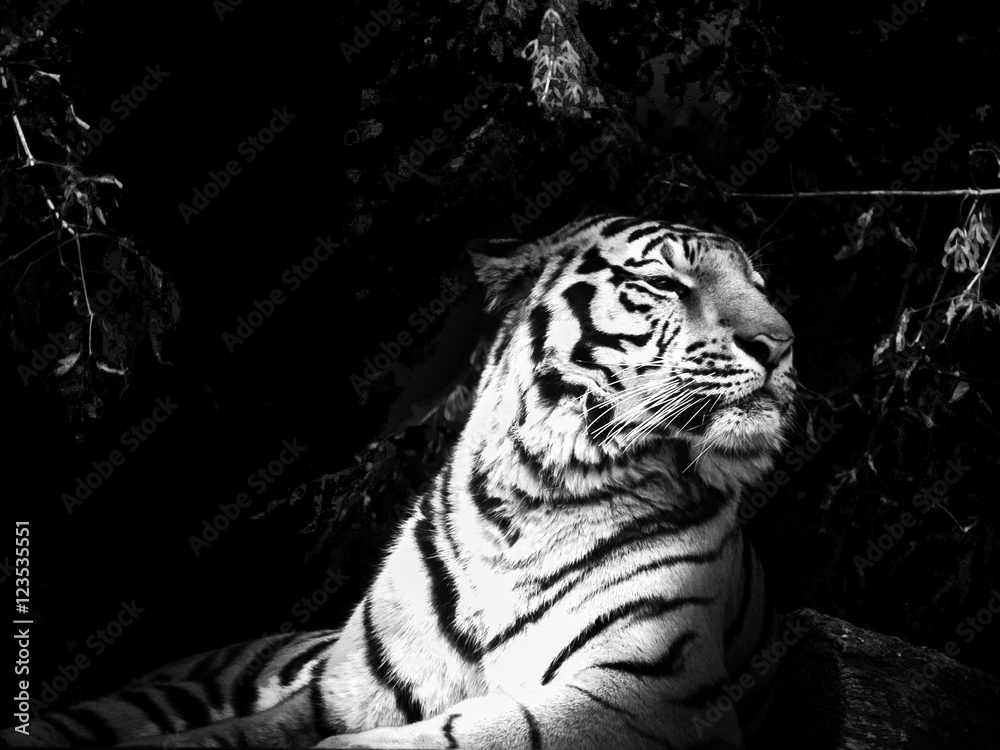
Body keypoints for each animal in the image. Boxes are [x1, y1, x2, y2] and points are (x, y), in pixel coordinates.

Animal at [2, 214, 796, 749]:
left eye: (762, 288)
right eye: (665, 283)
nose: (783, 343)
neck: (538, 497)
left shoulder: (642, 690)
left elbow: (448, 737)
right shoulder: (340, 692)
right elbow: (238, 734)